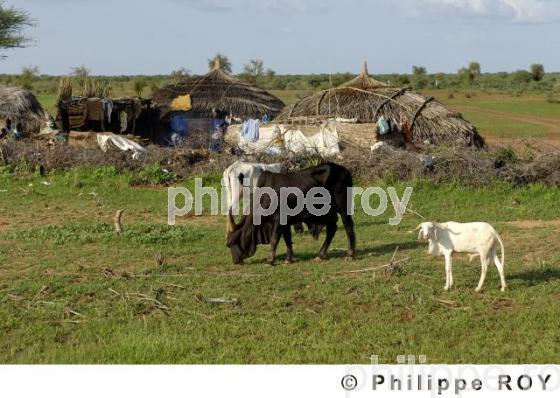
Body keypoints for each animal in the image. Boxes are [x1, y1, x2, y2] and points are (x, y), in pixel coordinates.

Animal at [225, 162, 356, 264]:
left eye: (230, 243)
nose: (235, 261)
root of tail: (344, 170)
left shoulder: (279, 219)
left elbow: (274, 240)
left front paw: (270, 260)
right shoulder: (285, 222)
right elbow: (287, 239)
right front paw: (288, 258)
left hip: (342, 206)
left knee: (348, 225)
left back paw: (350, 254)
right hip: (328, 213)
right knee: (332, 229)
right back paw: (320, 255)